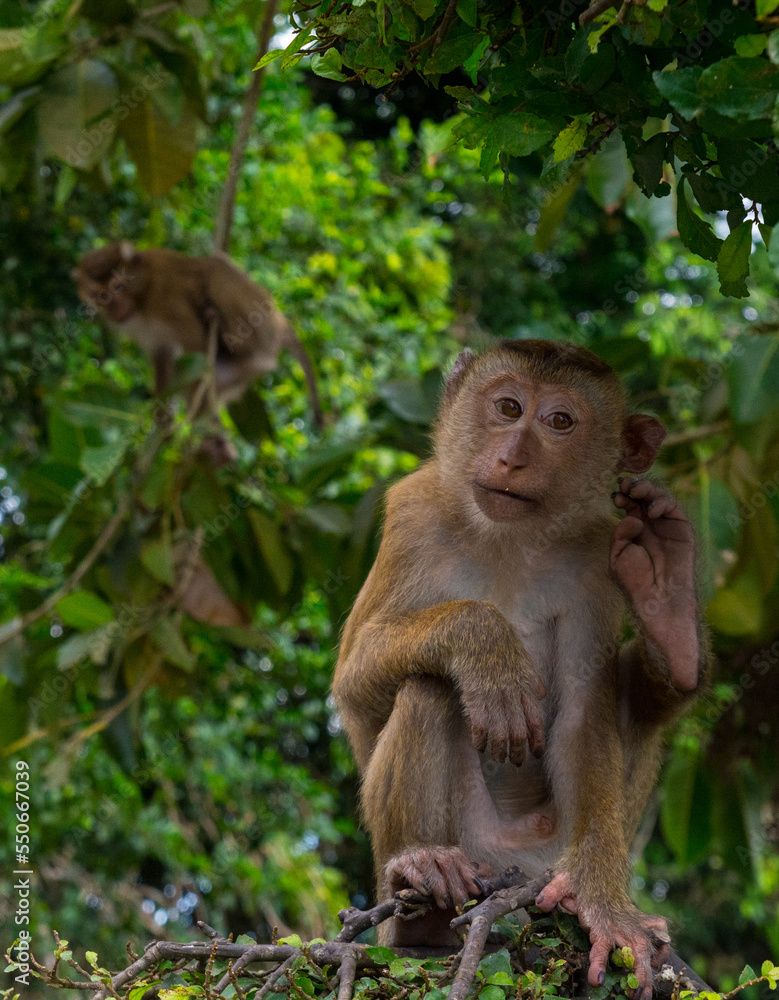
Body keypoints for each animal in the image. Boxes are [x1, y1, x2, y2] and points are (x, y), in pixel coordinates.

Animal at [74, 246, 324, 430]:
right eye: (100, 295)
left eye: (117, 286)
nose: (114, 308)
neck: (142, 297)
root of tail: (280, 322)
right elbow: (161, 353)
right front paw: (161, 414)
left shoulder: (166, 299)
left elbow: (194, 340)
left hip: (261, 325)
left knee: (216, 269)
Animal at [332, 340, 708, 996]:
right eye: (508, 407)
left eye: (560, 421)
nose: (511, 458)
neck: (509, 535)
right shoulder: (413, 515)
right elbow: (354, 684)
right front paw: (485, 646)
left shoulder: (596, 559)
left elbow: (584, 717)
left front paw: (604, 905)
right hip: (473, 847)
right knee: (429, 687)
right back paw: (419, 886)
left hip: (548, 855)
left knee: (633, 701)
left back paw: (669, 606)